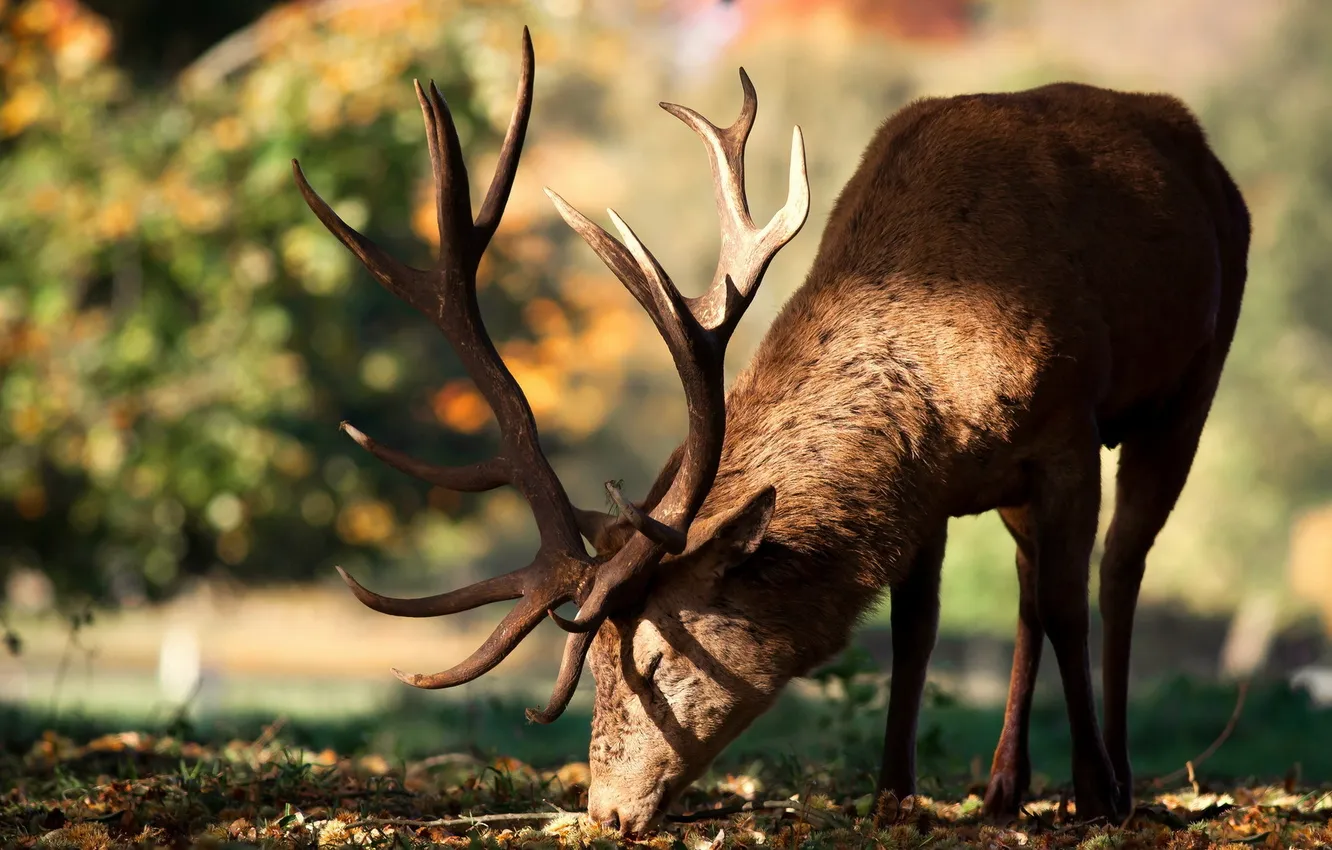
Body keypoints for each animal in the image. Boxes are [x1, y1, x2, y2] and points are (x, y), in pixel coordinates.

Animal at [293, 27, 1249, 836]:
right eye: (593, 665)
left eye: (656, 661)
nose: (606, 812)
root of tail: (1201, 148)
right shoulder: (936, 488)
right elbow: (917, 626)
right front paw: (893, 794)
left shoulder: (1066, 427)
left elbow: (1066, 603)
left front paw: (1091, 794)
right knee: (1024, 585)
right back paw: (1004, 787)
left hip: (1194, 381)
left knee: (1117, 570)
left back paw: (1113, 778)